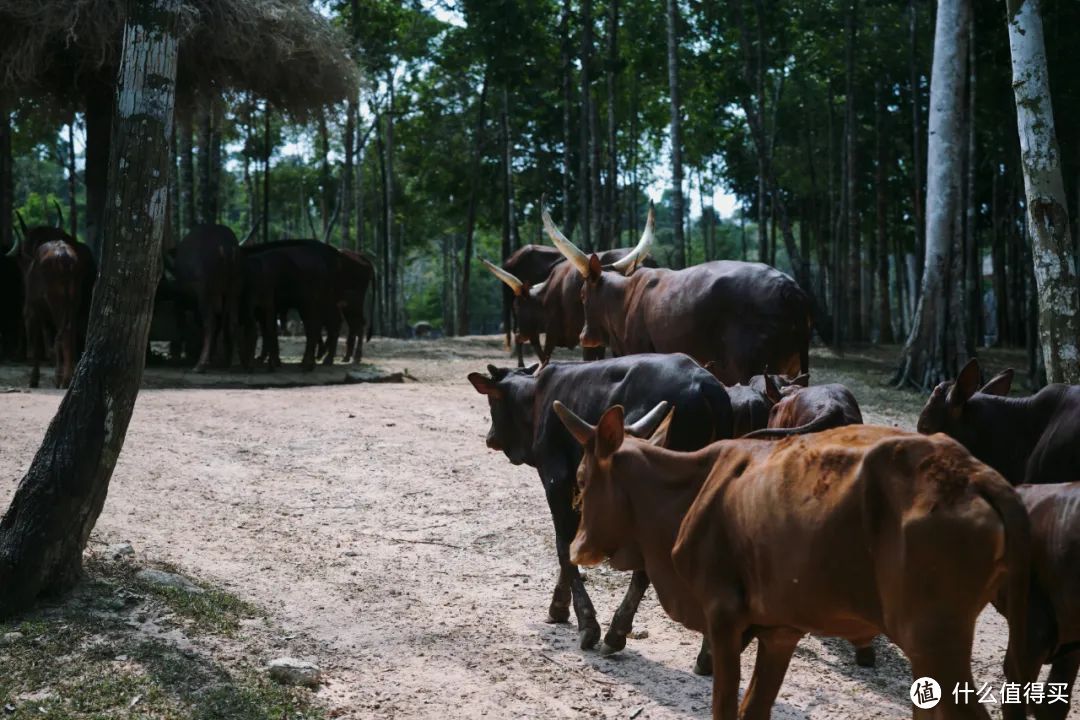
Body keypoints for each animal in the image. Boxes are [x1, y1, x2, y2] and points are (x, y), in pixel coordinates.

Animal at [557, 410, 1028, 720]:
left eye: (581, 478)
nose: (577, 547)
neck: (688, 492)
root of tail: (976, 474)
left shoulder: (723, 619)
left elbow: (726, 708)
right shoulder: (780, 631)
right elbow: (753, 708)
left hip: (934, 640)